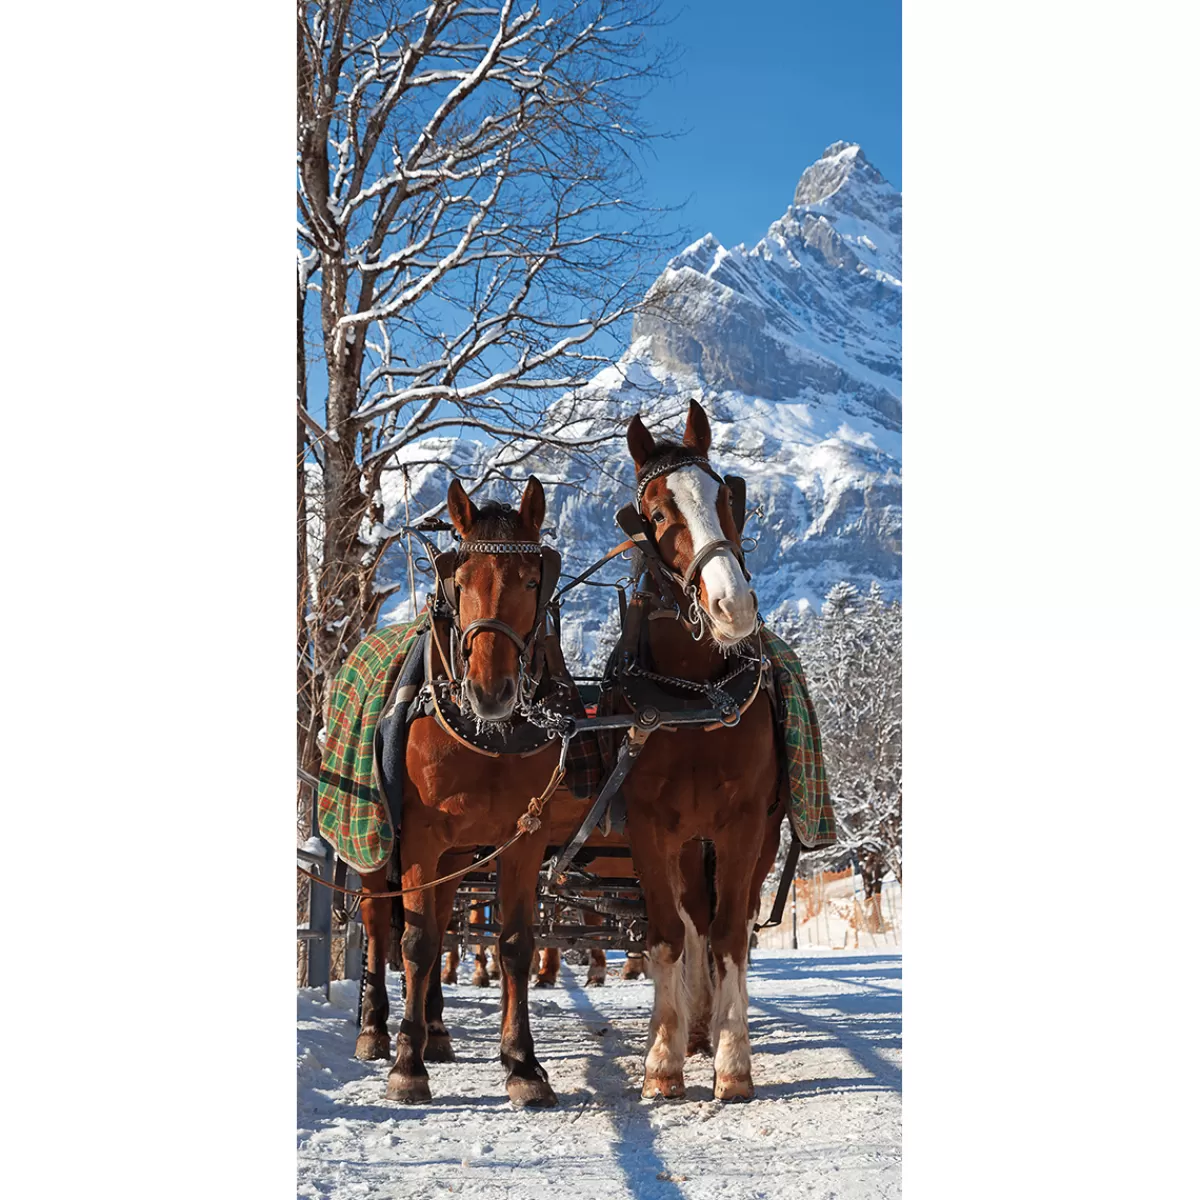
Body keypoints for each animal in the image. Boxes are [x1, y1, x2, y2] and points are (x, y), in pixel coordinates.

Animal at [354, 476, 576, 1108]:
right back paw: (377, 1030)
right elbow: (417, 941)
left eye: (532, 579)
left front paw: (523, 1065)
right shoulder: (419, 837)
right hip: (376, 845)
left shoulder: (522, 839)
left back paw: (434, 1029)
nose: (491, 691)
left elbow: (514, 944)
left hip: (455, 856)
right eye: (459, 578)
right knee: (380, 924)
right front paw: (406, 1067)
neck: (488, 737)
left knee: (442, 916)